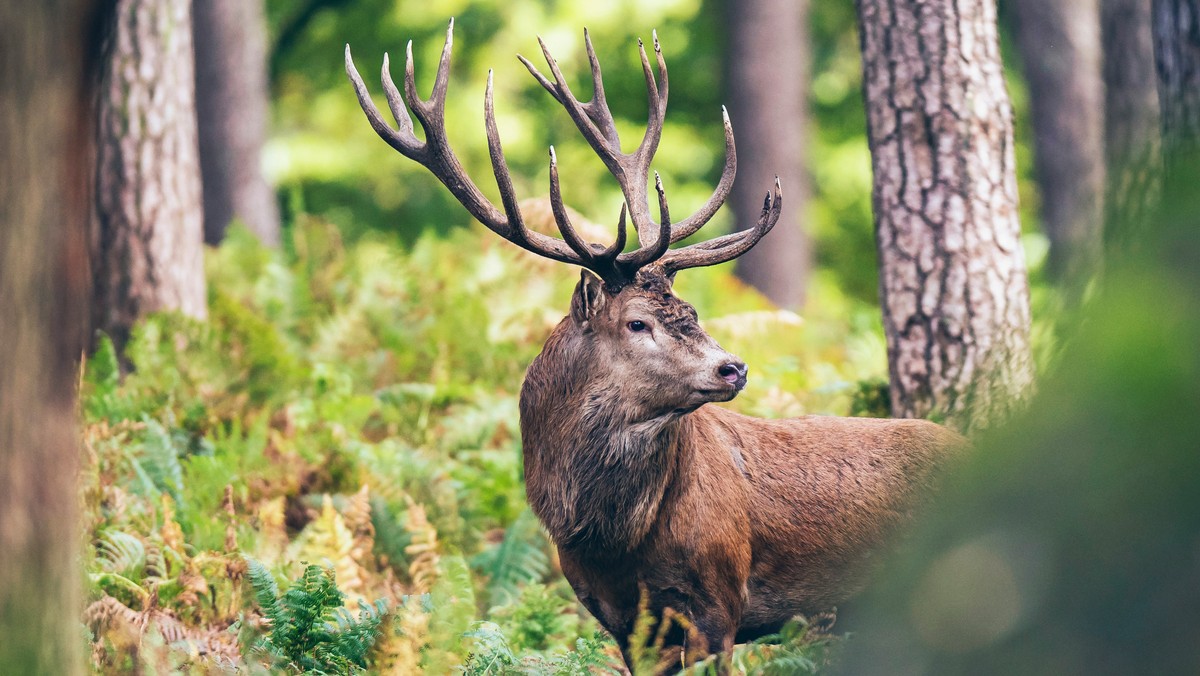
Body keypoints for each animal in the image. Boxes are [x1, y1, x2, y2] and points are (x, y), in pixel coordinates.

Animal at [343, 19, 960, 667]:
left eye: (692, 311)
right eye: (638, 323)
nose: (733, 368)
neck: (615, 544)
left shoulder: (720, 600)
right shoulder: (619, 619)